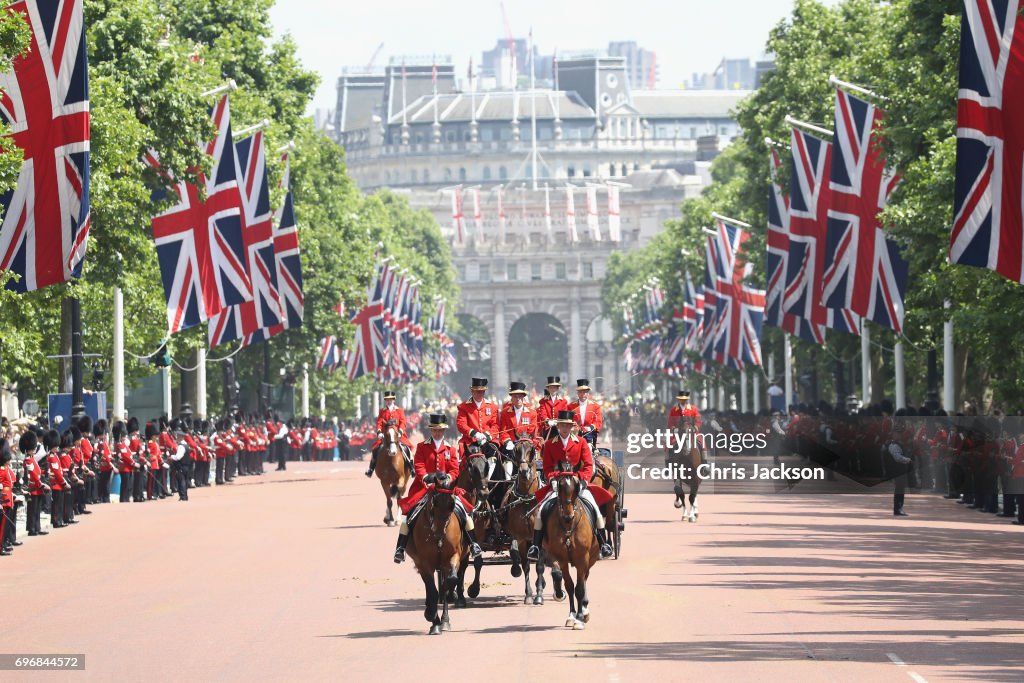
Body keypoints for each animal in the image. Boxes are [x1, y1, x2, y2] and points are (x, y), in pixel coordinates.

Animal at [407, 481, 471, 634]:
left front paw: (450, 596)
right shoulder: (424, 563)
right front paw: (431, 616)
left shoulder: (453, 557)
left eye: (452, 504)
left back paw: (445, 620)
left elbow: (452, 580)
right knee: (431, 589)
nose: (439, 533)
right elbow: (432, 591)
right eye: (434, 502)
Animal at [544, 471, 598, 630]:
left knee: (585, 579)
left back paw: (585, 610)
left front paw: (579, 618)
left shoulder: (582, 558)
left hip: (590, 559)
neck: (568, 526)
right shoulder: (561, 559)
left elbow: (580, 588)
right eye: (560, 486)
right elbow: (569, 586)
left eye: (576, 487)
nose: (568, 516)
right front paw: (572, 615)